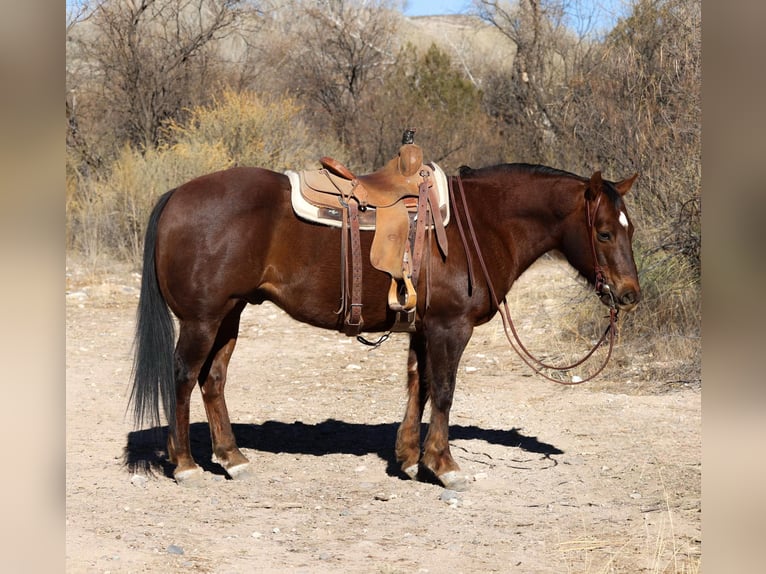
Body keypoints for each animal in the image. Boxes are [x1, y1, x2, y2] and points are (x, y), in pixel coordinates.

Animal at [130, 161, 640, 490]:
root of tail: (176, 195)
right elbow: (445, 391)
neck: (480, 225)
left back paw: (232, 458)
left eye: (629, 229)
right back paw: (185, 465)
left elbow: (420, 387)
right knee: (183, 378)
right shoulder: (451, 329)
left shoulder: (424, 329)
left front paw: (411, 459)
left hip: (230, 314)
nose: (630, 294)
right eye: (604, 232)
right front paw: (445, 466)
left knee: (213, 379)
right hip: (202, 320)